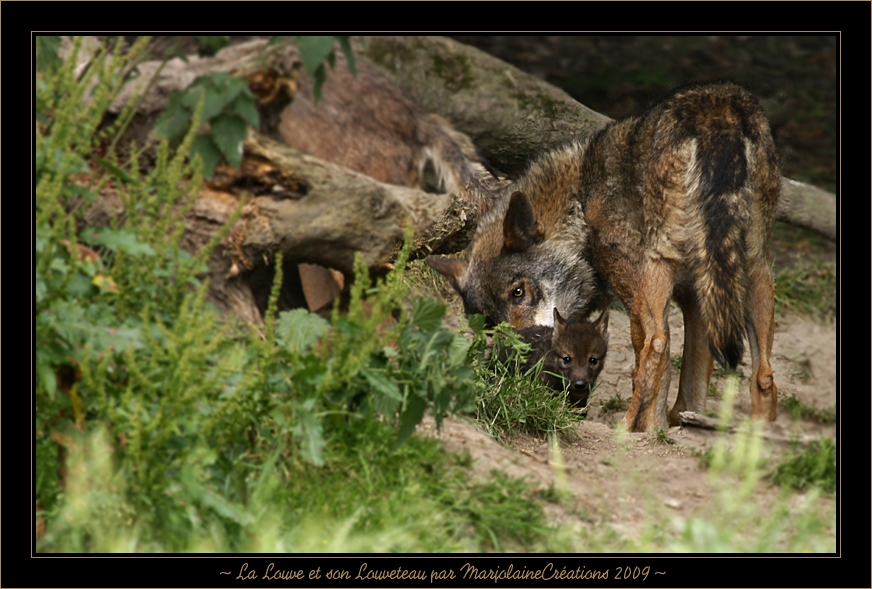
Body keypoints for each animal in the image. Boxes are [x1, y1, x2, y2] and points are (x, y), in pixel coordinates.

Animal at [430, 81, 784, 432]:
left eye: (518, 292)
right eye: (491, 324)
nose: (519, 346)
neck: (581, 203)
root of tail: (719, 109)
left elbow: (658, 366)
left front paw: (647, 430)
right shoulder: (697, 304)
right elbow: (689, 388)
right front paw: (667, 427)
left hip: (655, 275)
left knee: (656, 344)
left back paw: (624, 427)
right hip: (755, 269)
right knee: (764, 375)